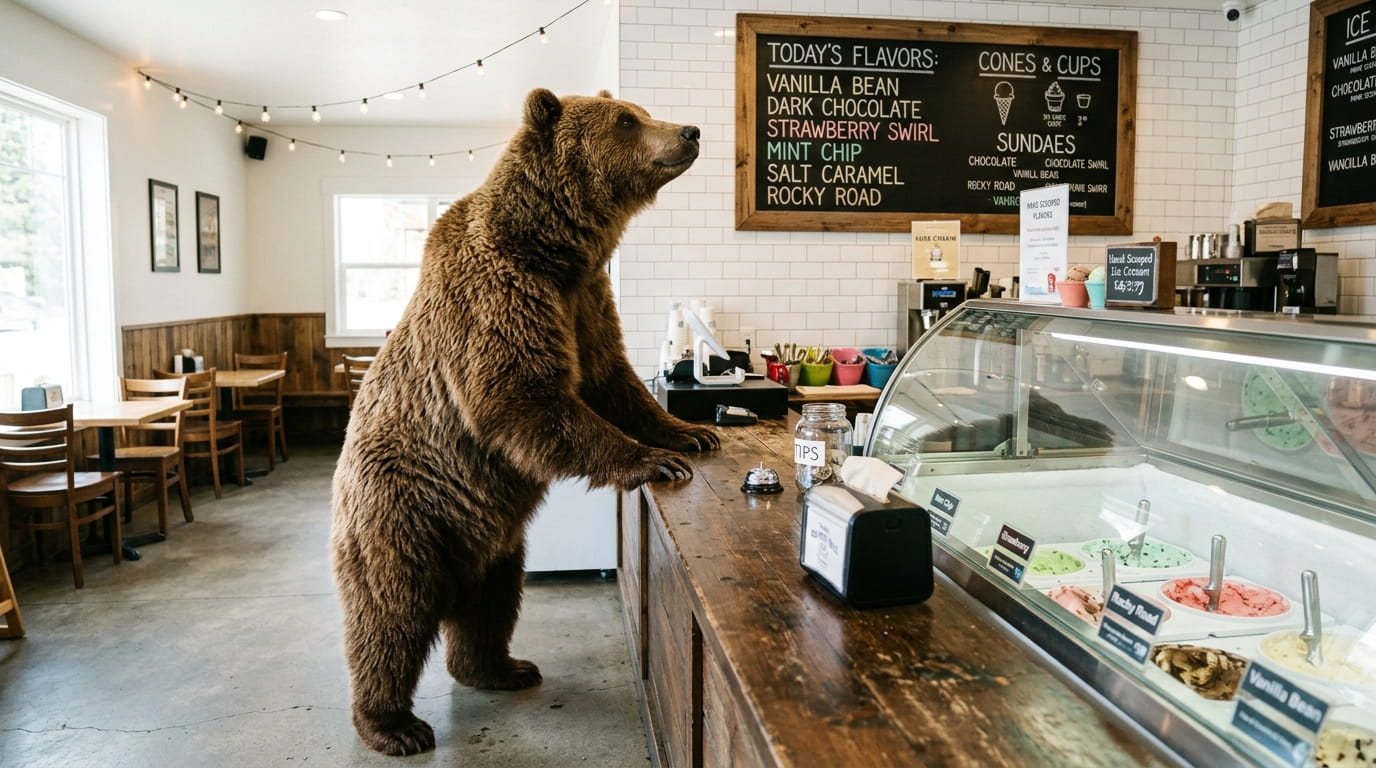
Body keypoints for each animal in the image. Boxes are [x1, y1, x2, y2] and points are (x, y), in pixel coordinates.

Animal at [330, 88, 720, 756]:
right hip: (400, 511)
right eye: (627, 121)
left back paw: (502, 667)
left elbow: (611, 380)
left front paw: (691, 432)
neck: (552, 248)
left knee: (492, 602)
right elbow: (523, 395)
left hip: (492, 538)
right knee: (391, 615)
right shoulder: (498, 294)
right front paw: (653, 460)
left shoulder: (584, 301)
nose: (690, 131)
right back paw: (393, 724)